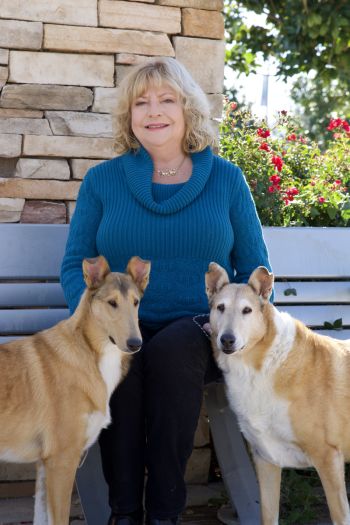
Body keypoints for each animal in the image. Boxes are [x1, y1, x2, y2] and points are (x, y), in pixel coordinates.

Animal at [0, 254, 149, 524]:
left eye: (136, 302)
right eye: (112, 303)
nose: (135, 343)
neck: (91, 354)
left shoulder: (44, 464)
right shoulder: (62, 461)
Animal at [205, 262, 350, 524]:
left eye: (247, 310)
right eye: (220, 307)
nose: (227, 340)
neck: (259, 368)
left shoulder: (328, 458)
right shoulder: (265, 459)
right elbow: (268, 515)